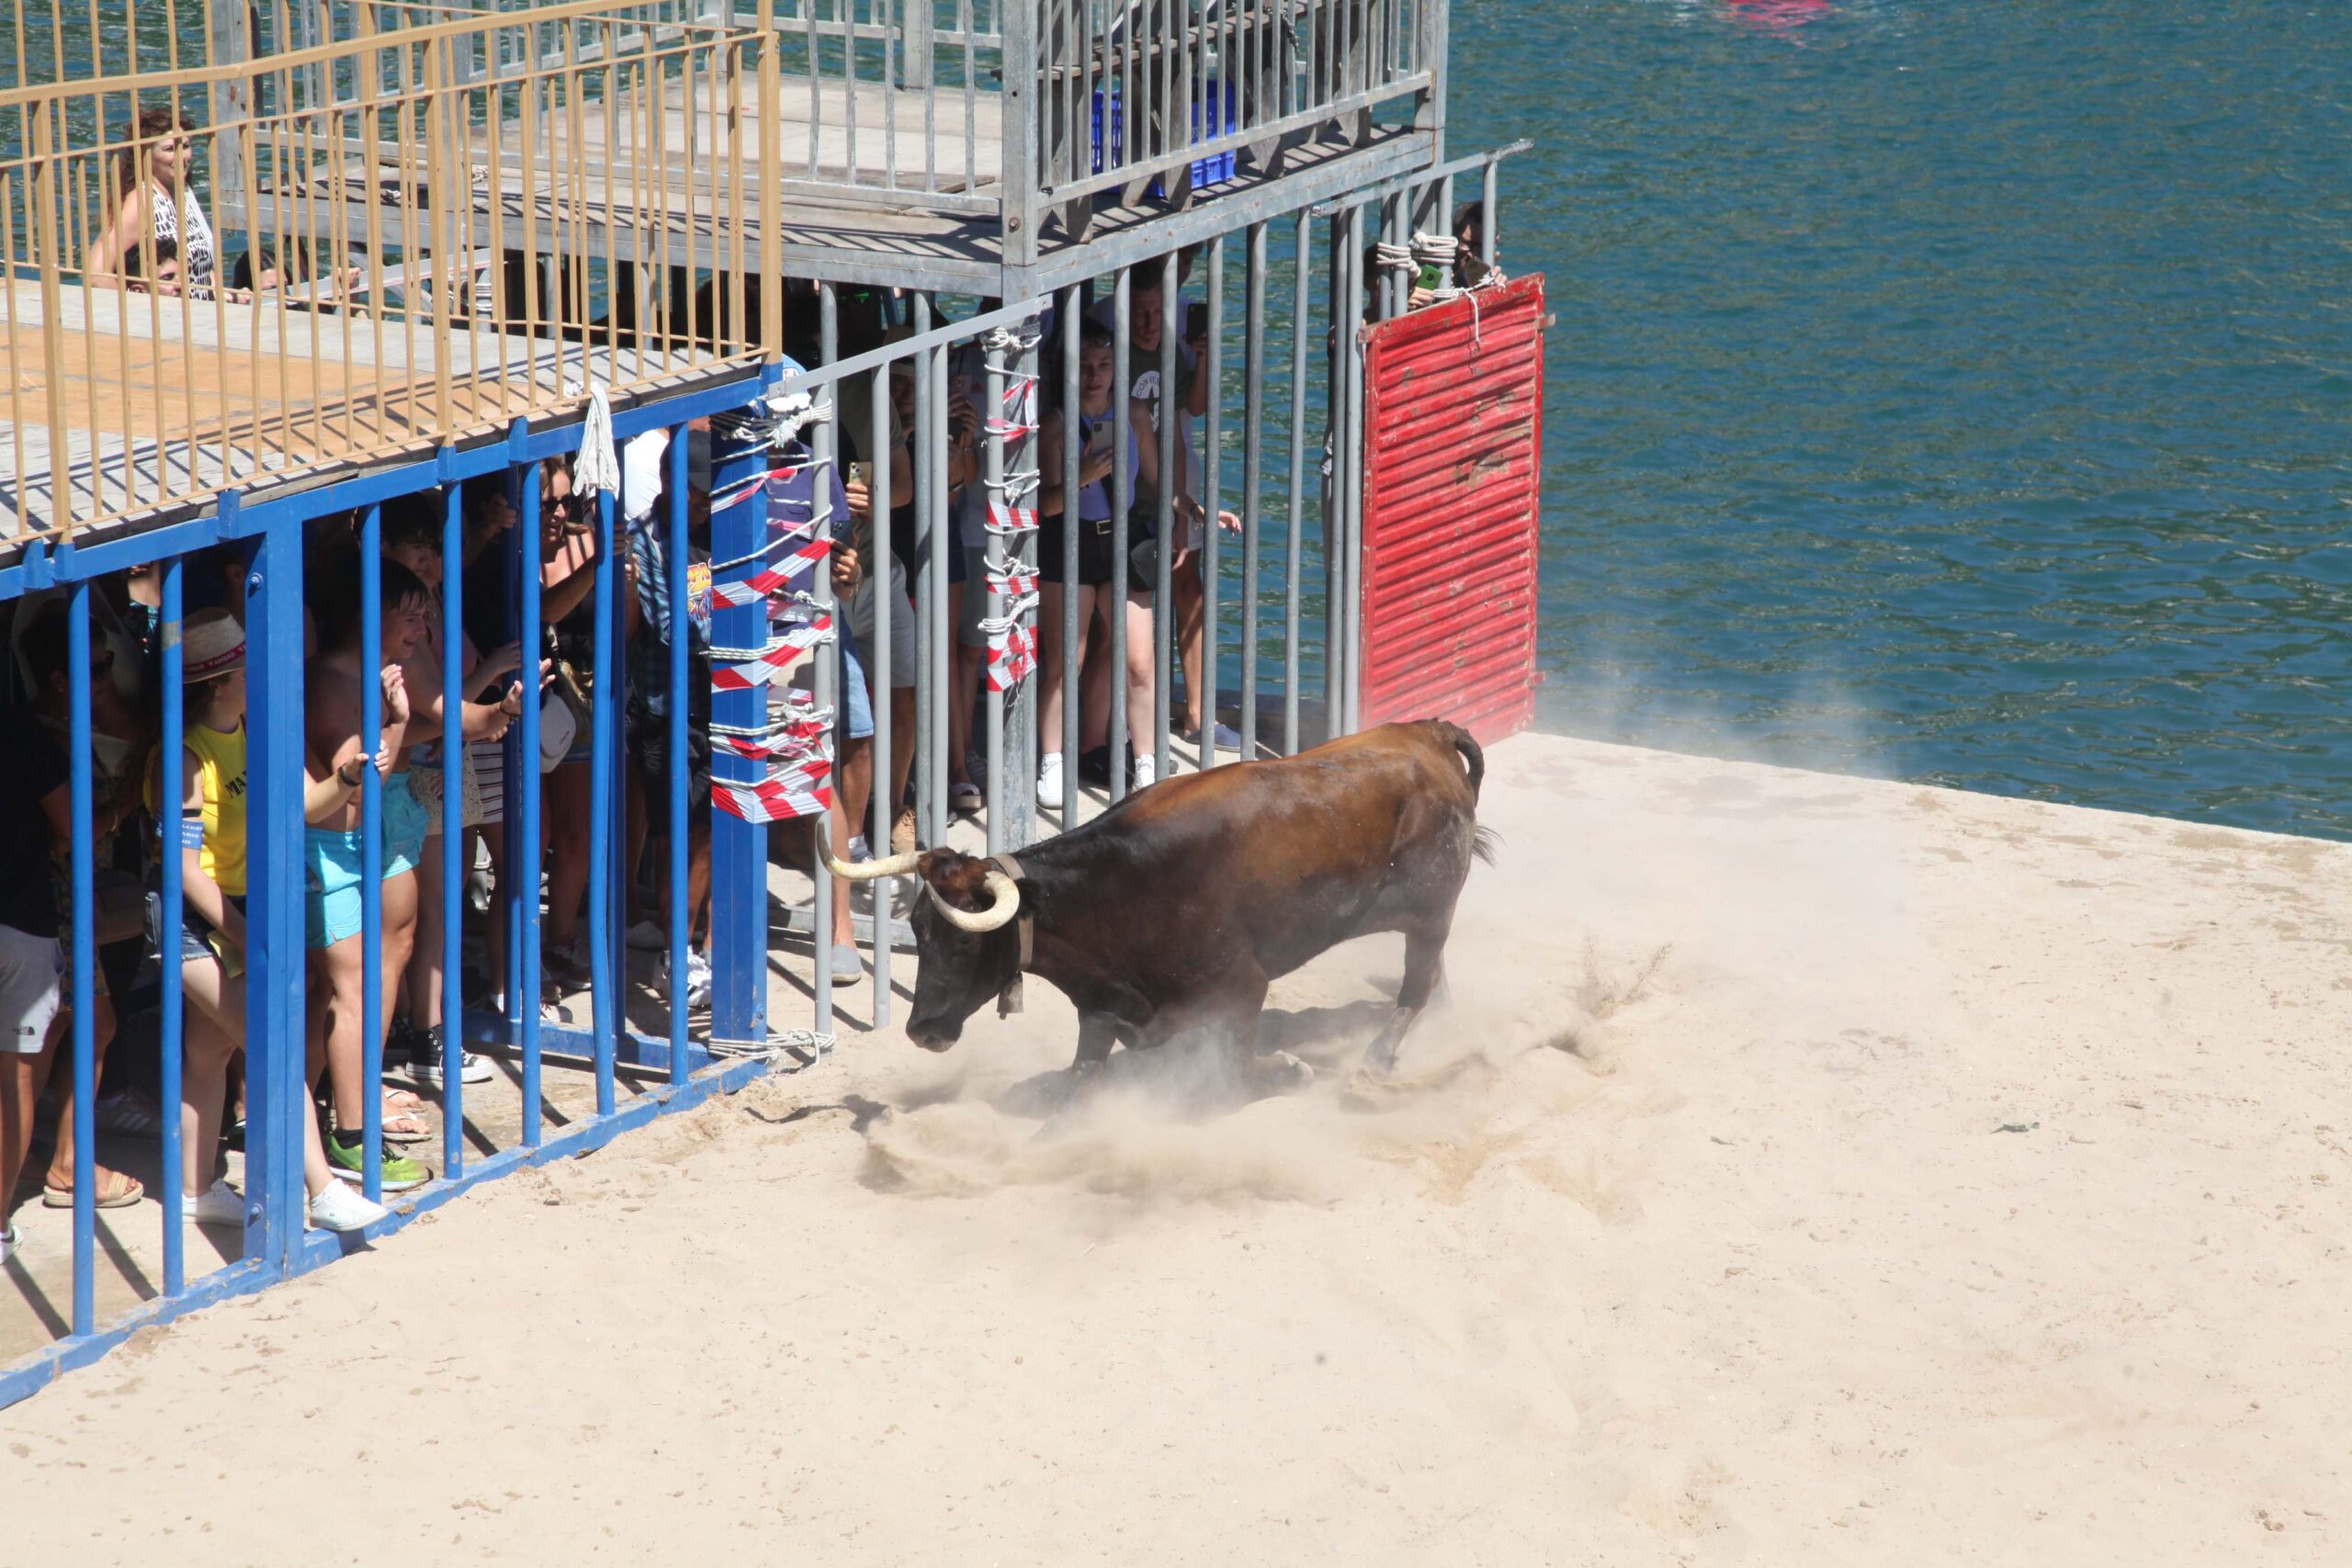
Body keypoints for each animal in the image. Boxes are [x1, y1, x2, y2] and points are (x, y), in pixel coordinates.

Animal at [828, 719, 1486, 1086]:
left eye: (965, 941)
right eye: (918, 931)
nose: (922, 1031)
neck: (1113, 893)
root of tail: (1428, 732)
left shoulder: (1241, 990)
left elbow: (1237, 1071)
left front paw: (1290, 1068)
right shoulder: (1102, 1014)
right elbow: (1076, 1085)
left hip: (1433, 909)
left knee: (1417, 982)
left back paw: (1379, 1058)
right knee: (1434, 977)